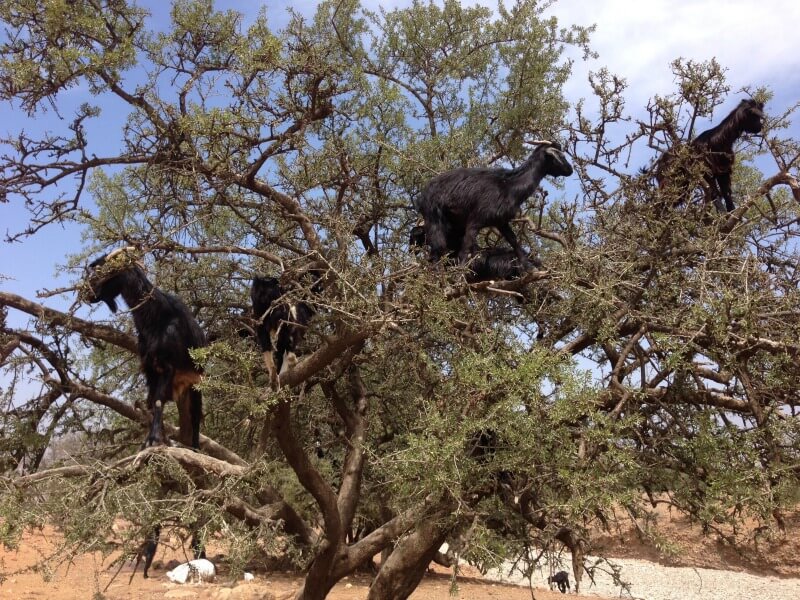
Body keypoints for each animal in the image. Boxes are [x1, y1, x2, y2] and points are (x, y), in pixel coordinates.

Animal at [416, 142, 572, 264]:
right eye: (560, 155)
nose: (570, 170)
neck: (509, 185)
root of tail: (423, 194)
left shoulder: (501, 221)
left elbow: (514, 242)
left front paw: (528, 268)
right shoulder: (475, 220)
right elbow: (465, 250)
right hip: (434, 218)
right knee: (438, 250)